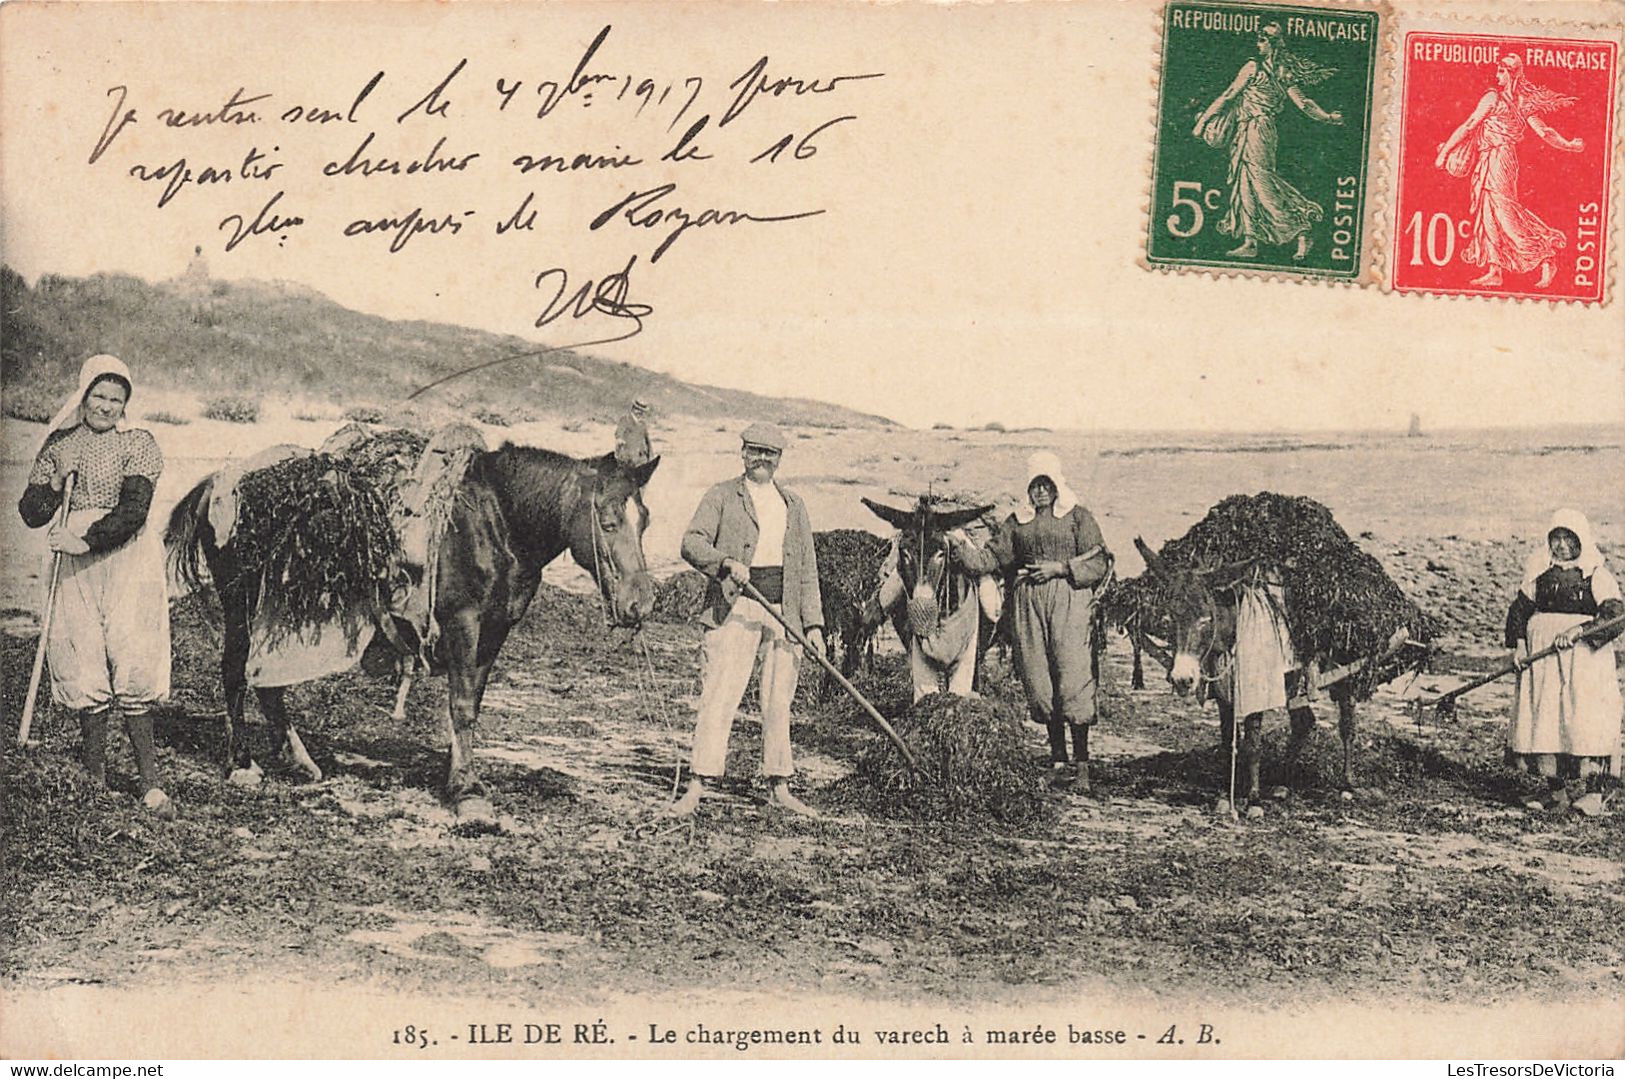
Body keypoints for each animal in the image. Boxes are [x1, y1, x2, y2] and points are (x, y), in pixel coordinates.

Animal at [168, 442, 656, 822]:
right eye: (608, 522)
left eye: (645, 520)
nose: (641, 603)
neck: (496, 522)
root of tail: (217, 481)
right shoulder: (463, 624)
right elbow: (462, 706)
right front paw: (467, 792)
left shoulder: (494, 631)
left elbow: (471, 703)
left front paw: (456, 777)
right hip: (240, 604)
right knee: (234, 672)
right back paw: (242, 764)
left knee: (268, 685)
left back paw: (300, 762)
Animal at [1131, 536, 1358, 812]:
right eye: (1169, 618)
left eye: (1206, 619)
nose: (1182, 679)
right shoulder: (1223, 696)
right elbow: (1228, 743)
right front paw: (1225, 794)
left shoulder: (1256, 691)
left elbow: (1252, 744)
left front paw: (1253, 799)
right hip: (1291, 681)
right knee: (1304, 722)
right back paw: (1283, 783)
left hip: (1344, 670)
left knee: (1347, 722)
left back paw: (1346, 784)